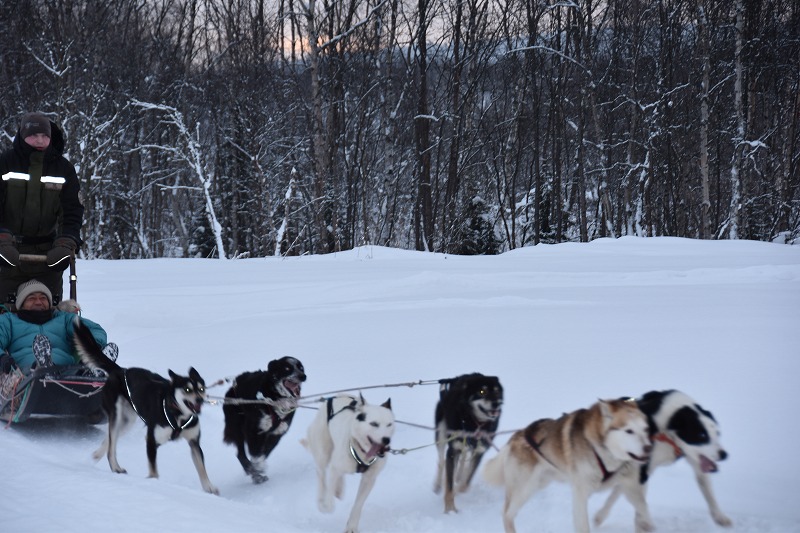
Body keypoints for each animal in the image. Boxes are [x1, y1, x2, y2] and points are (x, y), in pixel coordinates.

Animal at [70, 316, 216, 494]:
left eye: (201, 389)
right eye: (187, 389)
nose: (200, 400)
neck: (178, 415)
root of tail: (120, 370)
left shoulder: (194, 443)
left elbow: (201, 468)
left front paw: (209, 488)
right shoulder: (151, 441)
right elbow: (154, 472)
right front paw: (153, 483)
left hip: (126, 422)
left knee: (109, 439)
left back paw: (97, 455)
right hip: (116, 414)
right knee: (112, 447)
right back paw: (115, 467)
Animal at [304, 392, 394, 528]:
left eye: (389, 424)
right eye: (374, 424)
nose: (386, 440)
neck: (362, 452)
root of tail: (336, 396)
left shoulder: (369, 479)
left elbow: (358, 505)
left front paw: (351, 526)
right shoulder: (335, 468)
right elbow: (329, 501)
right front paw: (325, 506)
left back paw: (339, 489)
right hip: (322, 453)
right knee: (321, 474)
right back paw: (321, 500)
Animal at [434, 370, 504, 512]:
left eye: (497, 391)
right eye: (482, 391)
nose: (497, 403)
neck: (474, 422)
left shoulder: (480, 451)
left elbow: (466, 482)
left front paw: (459, 488)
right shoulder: (453, 450)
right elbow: (449, 485)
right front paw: (450, 510)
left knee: (463, 459)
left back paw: (459, 476)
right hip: (441, 436)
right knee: (441, 461)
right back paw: (438, 485)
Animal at [482, 396, 648, 528]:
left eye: (645, 429)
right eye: (629, 431)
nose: (648, 448)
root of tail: (517, 435)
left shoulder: (630, 483)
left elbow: (639, 506)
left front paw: (645, 524)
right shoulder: (580, 493)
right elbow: (583, 525)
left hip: (540, 483)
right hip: (525, 488)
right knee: (507, 514)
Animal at [592, 388, 732, 528]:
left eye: (718, 433)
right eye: (702, 435)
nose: (724, 454)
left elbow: (709, 493)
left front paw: (719, 516)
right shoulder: (642, 470)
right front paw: (642, 524)